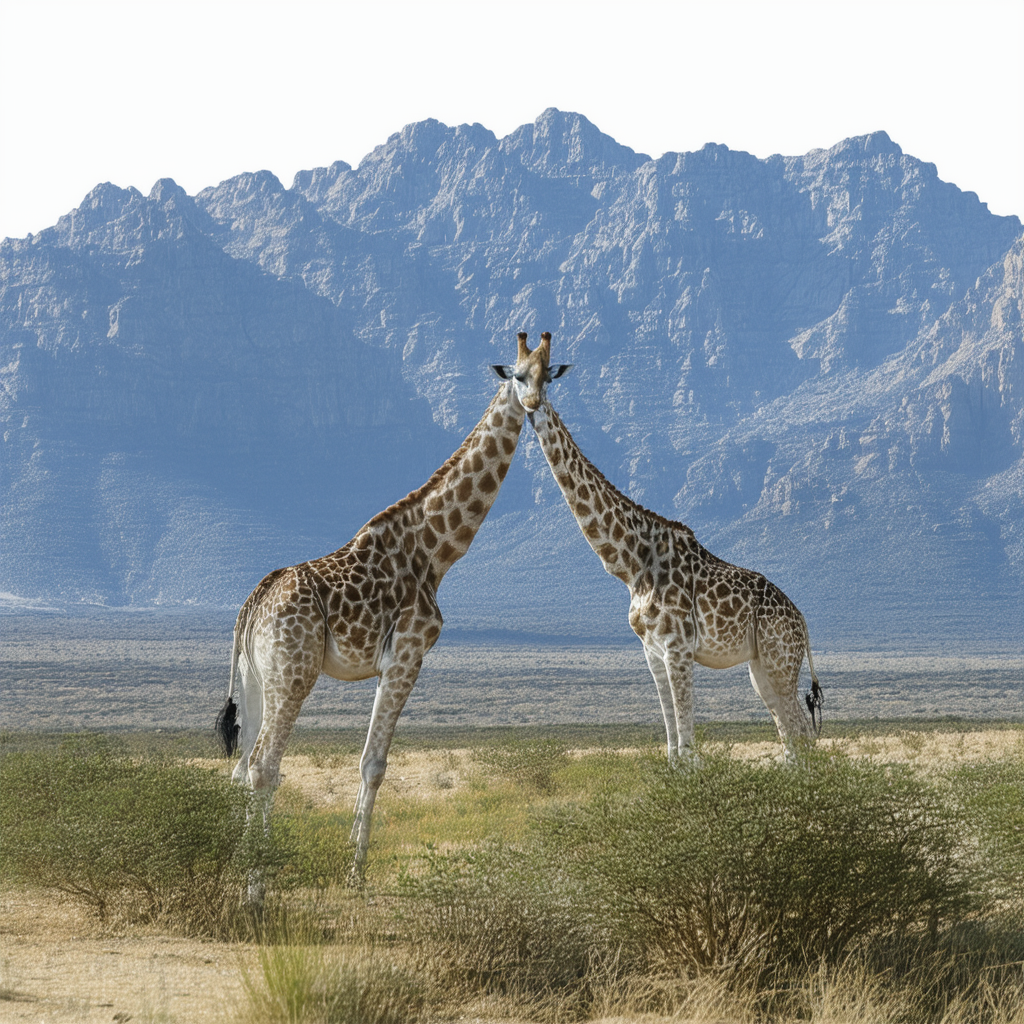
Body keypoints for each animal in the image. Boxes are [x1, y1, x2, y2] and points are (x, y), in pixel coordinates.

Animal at [216, 336, 548, 881]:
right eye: (517, 375)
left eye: (550, 373)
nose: (536, 403)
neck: (436, 550)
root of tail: (254, 602)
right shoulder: (408, 653)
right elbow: (374, 763)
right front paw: (356, 874)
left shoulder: (387, 662)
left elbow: (366, 759)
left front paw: (352, 860)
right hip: (294, 672)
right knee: (265, 766)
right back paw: (256, 885)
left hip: (254, 677)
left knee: (241, 768)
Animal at [500, 332, 822, 761]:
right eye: (517, 376)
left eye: (547, 377)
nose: (532, 403)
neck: (632, 562)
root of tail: (802, 621)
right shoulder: (651, 650)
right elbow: (672, 745)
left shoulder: (678, 646)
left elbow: (687, 747)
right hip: (761, 667)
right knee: (791, 736)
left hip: (779, 658)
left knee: (801, 732)